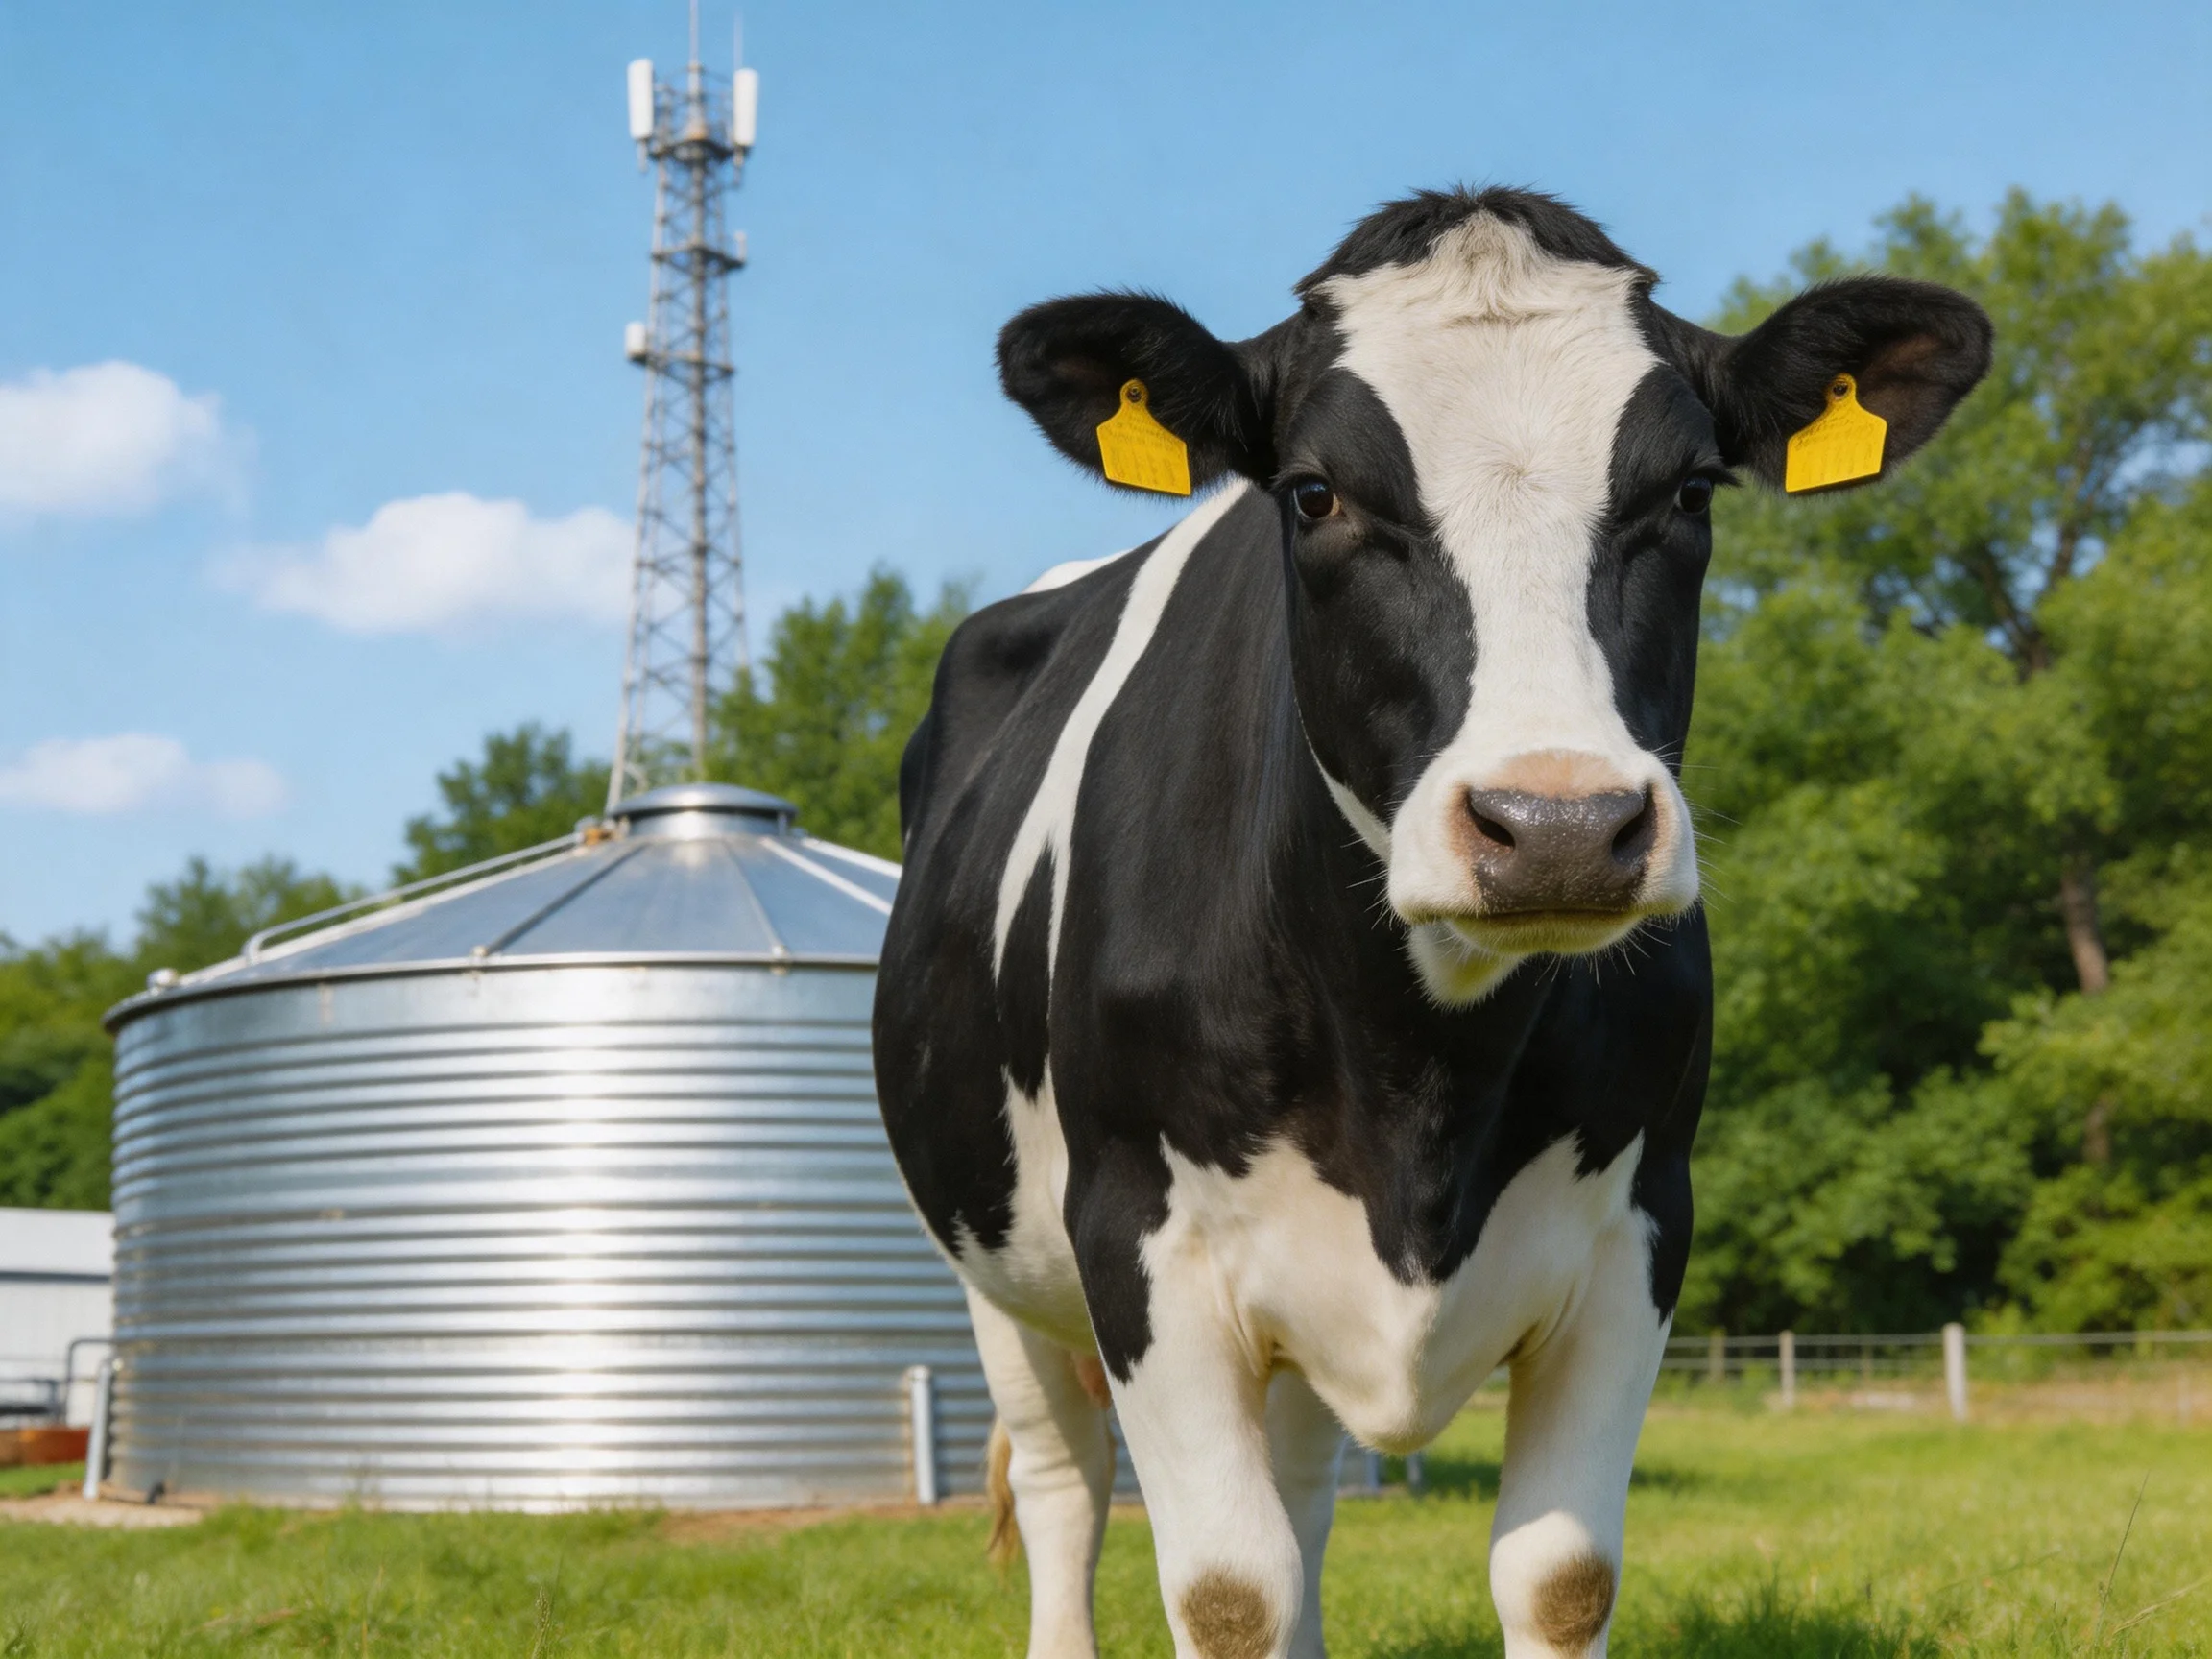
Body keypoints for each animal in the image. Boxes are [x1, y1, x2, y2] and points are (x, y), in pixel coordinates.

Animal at [874, 187, 1990, 1659]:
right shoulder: (1138, 1239)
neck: (1421, 1080)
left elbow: (1557, 1576)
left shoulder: (1642, 1229)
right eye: (1315, 493)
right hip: (994, 1261)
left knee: (1301, 1492)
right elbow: (1226, 1592)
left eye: (1690, 491)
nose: (1558, 822)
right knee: (1067, 1491)